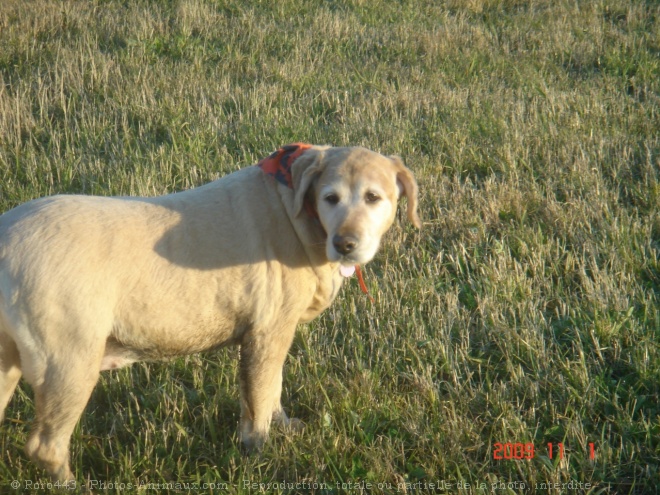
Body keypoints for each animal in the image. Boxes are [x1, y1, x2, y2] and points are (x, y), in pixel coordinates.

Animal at [0, 143, 420, 480]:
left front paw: (284, 426)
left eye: (373, 197)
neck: (298, 213)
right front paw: (259, 455)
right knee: (45, 446)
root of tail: (5, 237)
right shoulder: (267, 331)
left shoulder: (272, 335)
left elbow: (274, 389)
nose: (345, 243)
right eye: (330, 197)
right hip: (70, 361)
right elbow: (259, 401)